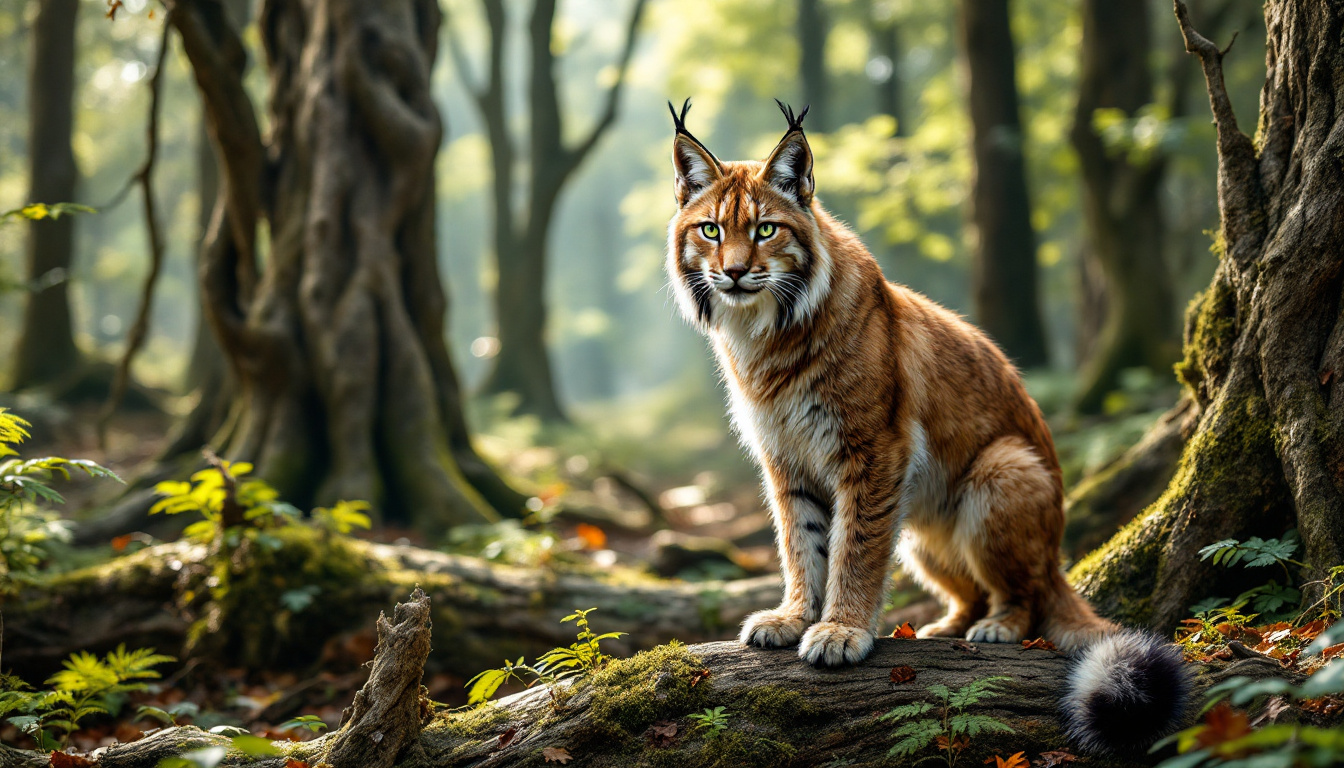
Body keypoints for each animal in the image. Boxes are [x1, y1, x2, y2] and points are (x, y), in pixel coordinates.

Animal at [661, 98, 1188, 753]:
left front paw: (841, 630)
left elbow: (853, 549)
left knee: (1030, 592)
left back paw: (998, 626)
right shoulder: (785, 457)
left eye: (765, 230)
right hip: (919, 529)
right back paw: (949, 625)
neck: (765, 332)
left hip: (1002, 467)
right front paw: (794, 616)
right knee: (972, 586)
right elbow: (799, 544)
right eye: (710, 230)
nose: (733, 274)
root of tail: (1059, 557)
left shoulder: (873, 448)